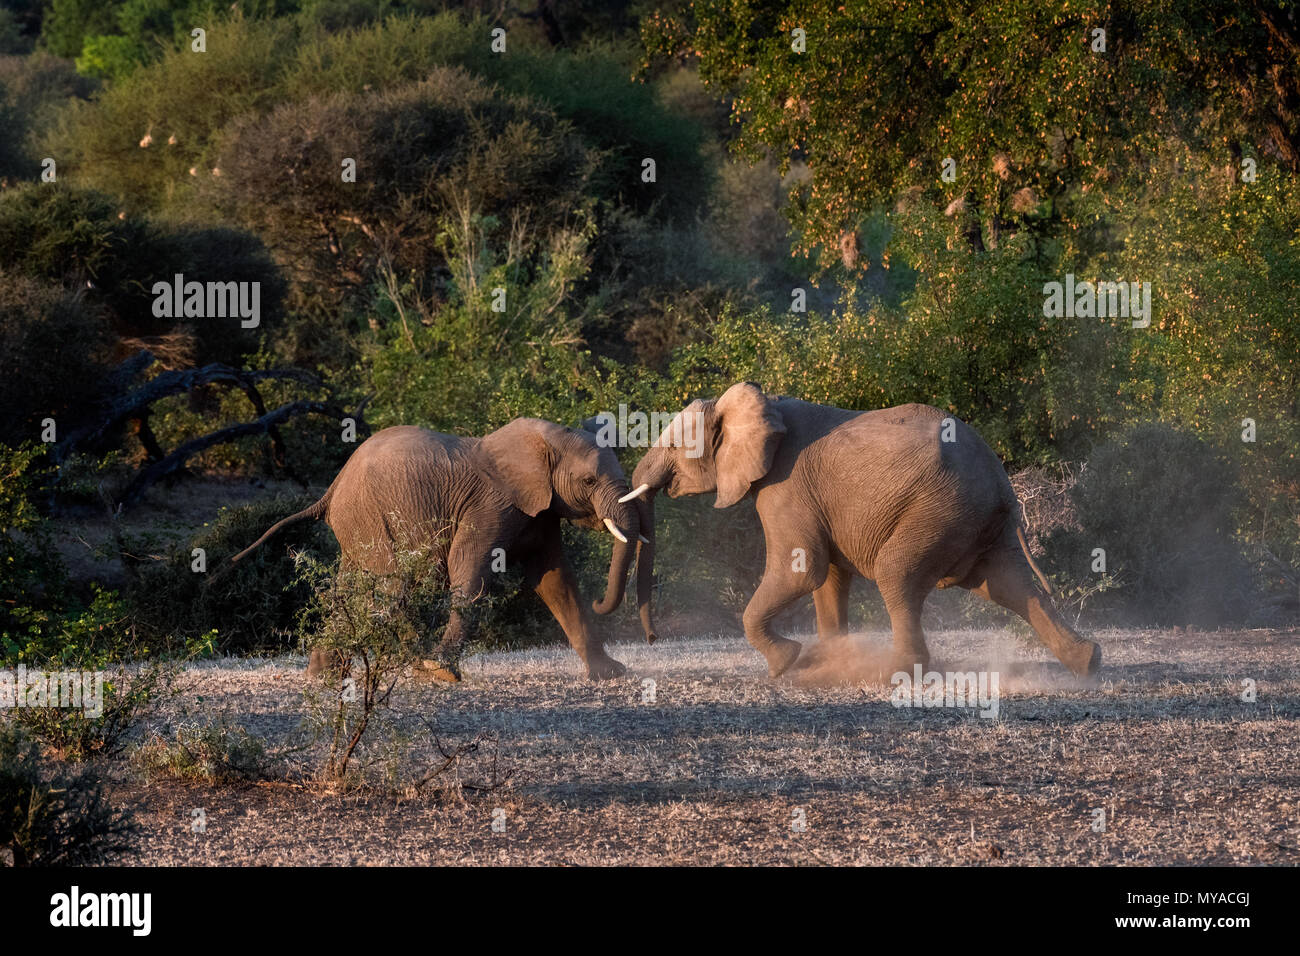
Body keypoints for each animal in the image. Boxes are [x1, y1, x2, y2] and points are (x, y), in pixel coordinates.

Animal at [230, 418, 655, 681]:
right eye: (589, 481)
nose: (650, 638)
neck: (542, 442)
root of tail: (332, 488)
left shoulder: (541, 508)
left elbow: (554, 580)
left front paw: (610, 673)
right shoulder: (490, 505)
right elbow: (469, 570)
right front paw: (442, 672)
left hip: (357, 525)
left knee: (351, 587)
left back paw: (323, 674)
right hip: (372, 517)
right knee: (391, 584)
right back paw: (411, 664)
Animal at [624, 382, 1102, 681]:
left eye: (673, 446)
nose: (652, 638)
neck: (762, 401)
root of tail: (999, 477)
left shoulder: (784, 486)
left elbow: (802, 569)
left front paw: (787, 663)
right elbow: (828, 578)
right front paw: (826, 663)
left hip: (940, 508)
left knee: (899, 574)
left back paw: (897, 673)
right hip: (974, 517)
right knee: (1007, 584)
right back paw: (1088, 664)